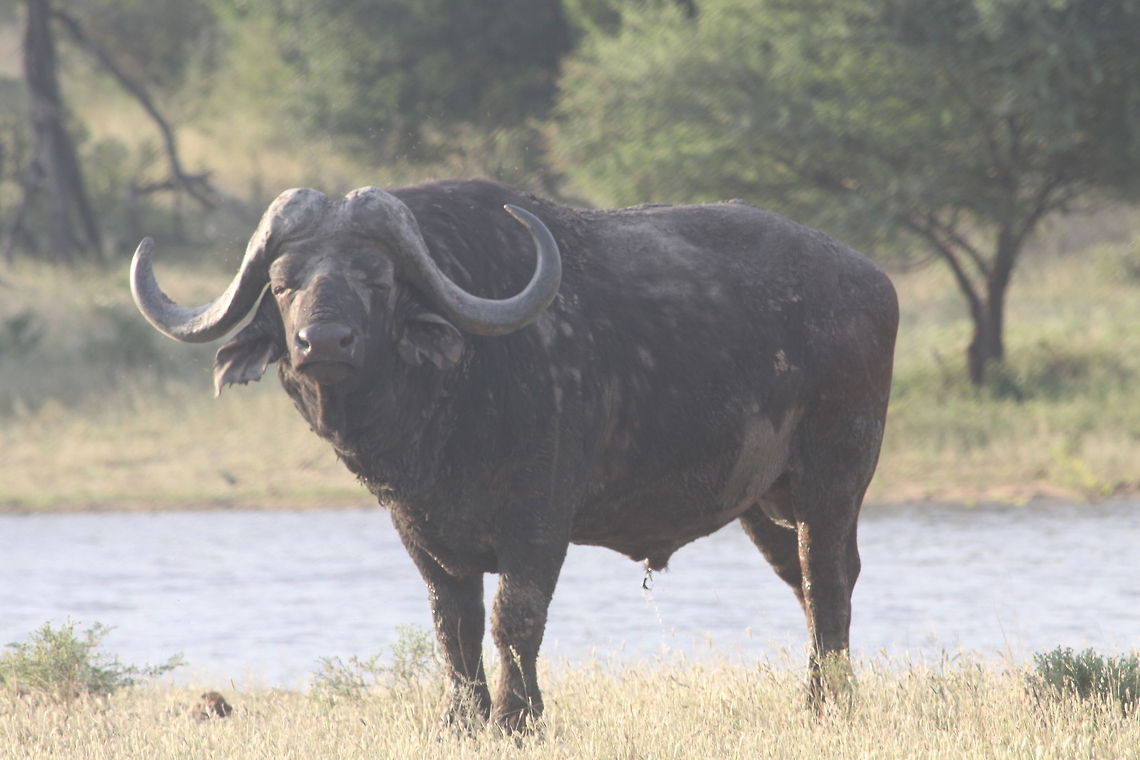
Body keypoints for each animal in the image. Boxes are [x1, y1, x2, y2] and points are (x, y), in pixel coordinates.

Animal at [130, 179, 898, 730]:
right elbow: (453, 624)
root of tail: (872, 281)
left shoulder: (540, 519)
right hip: (765, 503)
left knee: (828, 580)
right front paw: (460, 719)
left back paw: (829, 706)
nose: (323, 341)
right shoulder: (419, 529)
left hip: (834, 474)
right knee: (807, 585)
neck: (447, 406)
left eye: (376, 278)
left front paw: (516, 718)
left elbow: (514, 617)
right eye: (285, 281)